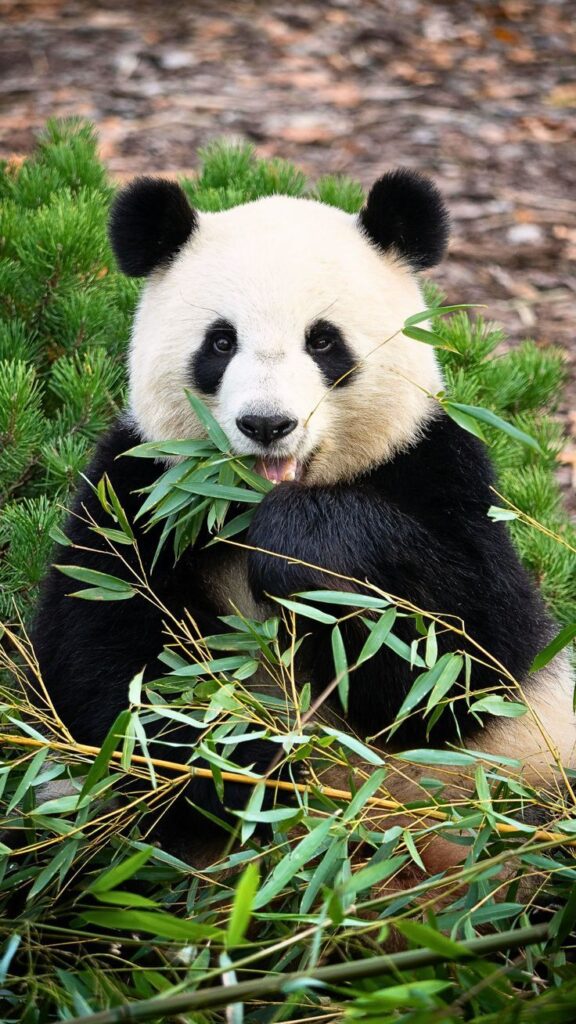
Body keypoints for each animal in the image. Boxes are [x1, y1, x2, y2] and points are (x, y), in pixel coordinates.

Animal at [31, 169, 575, 868]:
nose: (267, 424)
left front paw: (298, 547)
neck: (242, 504)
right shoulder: (135, 490)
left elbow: (468, 657)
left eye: (322, 340)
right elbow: (103, 661)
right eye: (221, 341)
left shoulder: (436, 466)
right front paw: (237, 766)